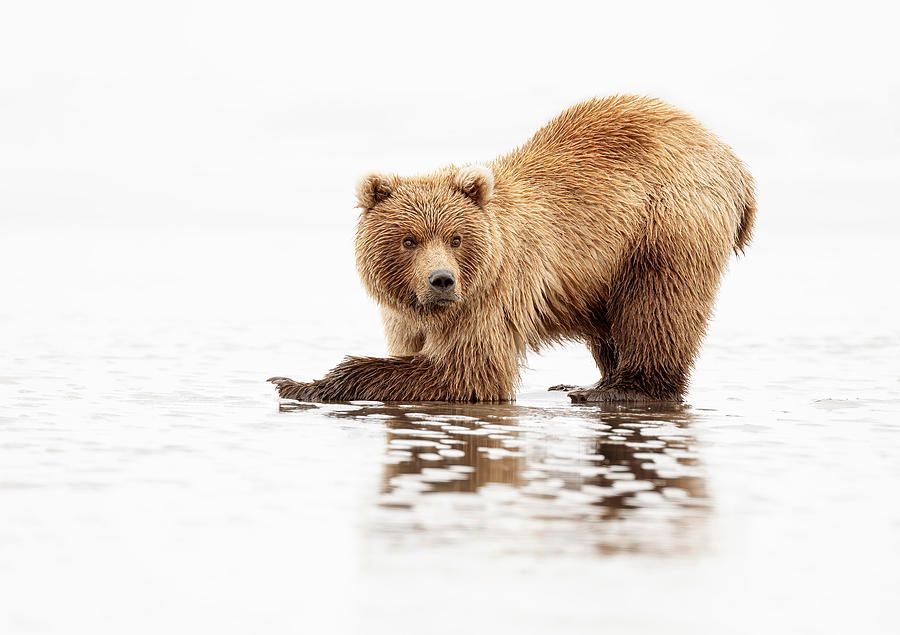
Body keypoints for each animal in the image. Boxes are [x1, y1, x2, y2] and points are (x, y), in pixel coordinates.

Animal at [270, 95, 755, 403]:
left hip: (665, 226)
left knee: (658, 306)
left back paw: (619, 389)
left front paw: (299, 382)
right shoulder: (407, 311)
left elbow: (470, 370)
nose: (441, 280)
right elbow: (418, 348)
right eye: (409, 239)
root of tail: (733, 160)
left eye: (455, 237)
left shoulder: (494, 290)